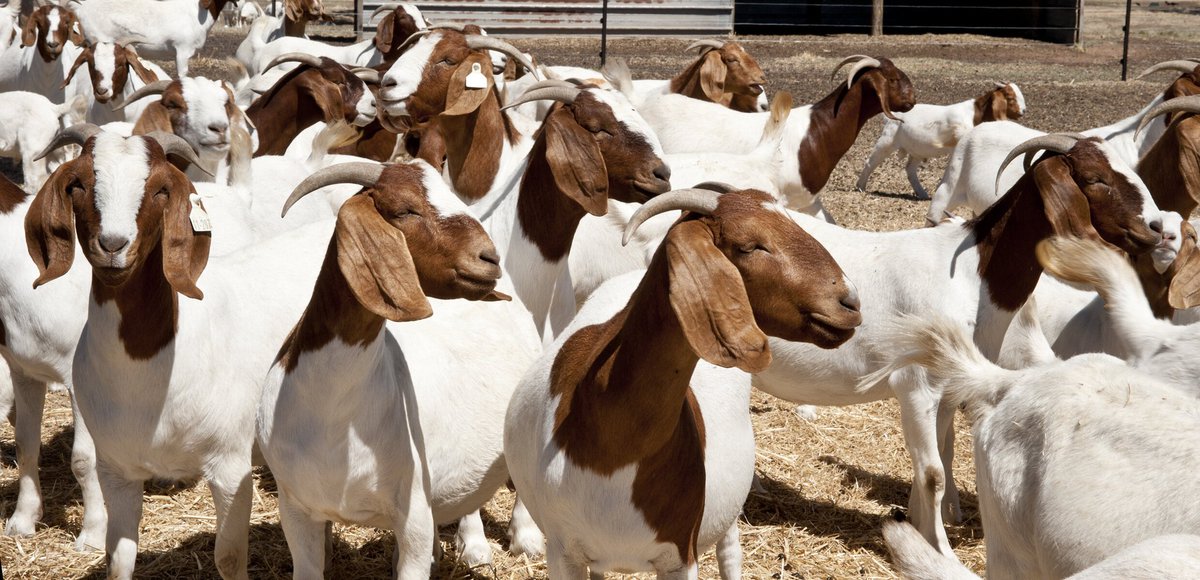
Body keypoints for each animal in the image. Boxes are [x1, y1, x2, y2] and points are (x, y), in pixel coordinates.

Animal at [856, 81, 1025, 199]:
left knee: (910, 170)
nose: (1023, 111)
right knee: (871, 161)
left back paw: (922, 194)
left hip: (916, 150)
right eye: (1010, 97)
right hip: (888, 139)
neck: (975, 114)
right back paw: (860, 187)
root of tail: (892, 116)